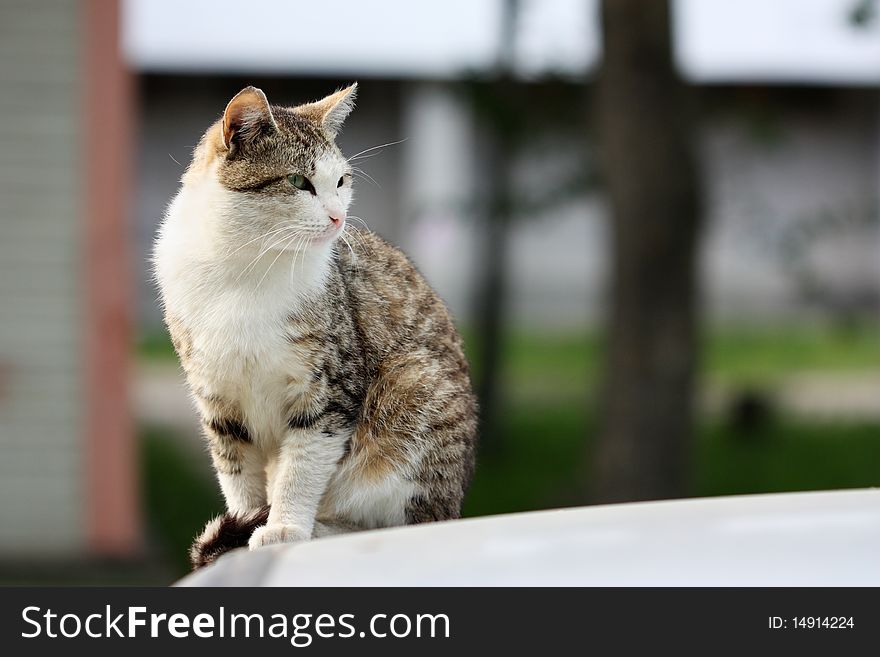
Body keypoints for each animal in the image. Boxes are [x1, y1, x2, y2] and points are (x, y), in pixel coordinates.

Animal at [155, 84, 478, 568]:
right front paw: (245, 523)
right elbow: (237, 470)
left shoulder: (329, 388)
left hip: (413, 388)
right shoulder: (217, 396)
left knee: (401, 521)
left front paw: (285, 525)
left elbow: (303, 464)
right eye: (297, 182)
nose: (337, 217)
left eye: (341, 181)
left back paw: (323, 528)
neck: (244, 266)